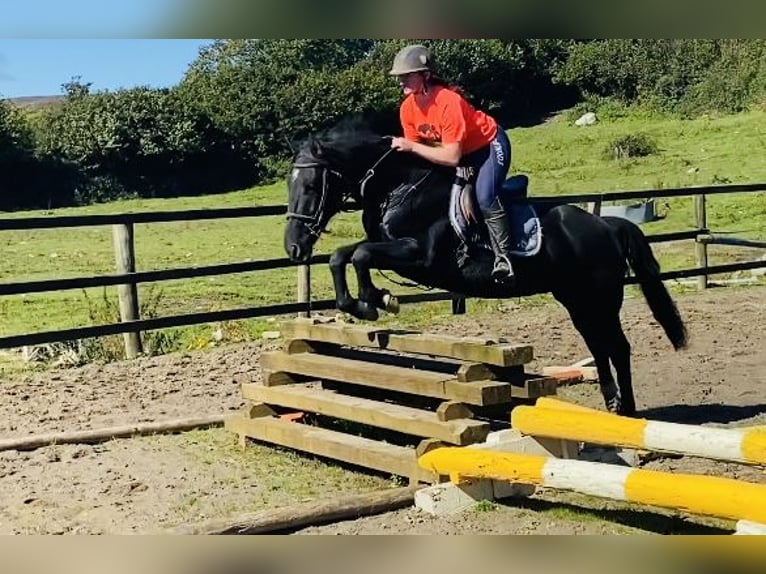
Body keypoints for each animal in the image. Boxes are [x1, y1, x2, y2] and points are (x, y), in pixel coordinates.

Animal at [284, 120, 688, 414]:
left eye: (311, 184)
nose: (293, 246)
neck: (400, 186)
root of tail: (607, 225)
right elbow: (342, 255)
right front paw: (360, 304)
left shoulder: (420, 256)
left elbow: (362, 255)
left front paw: (376, 300)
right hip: (577, 300)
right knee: (598, 344)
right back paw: (612, 405)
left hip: (601, 298)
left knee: (617, 347)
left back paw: (628, 411)